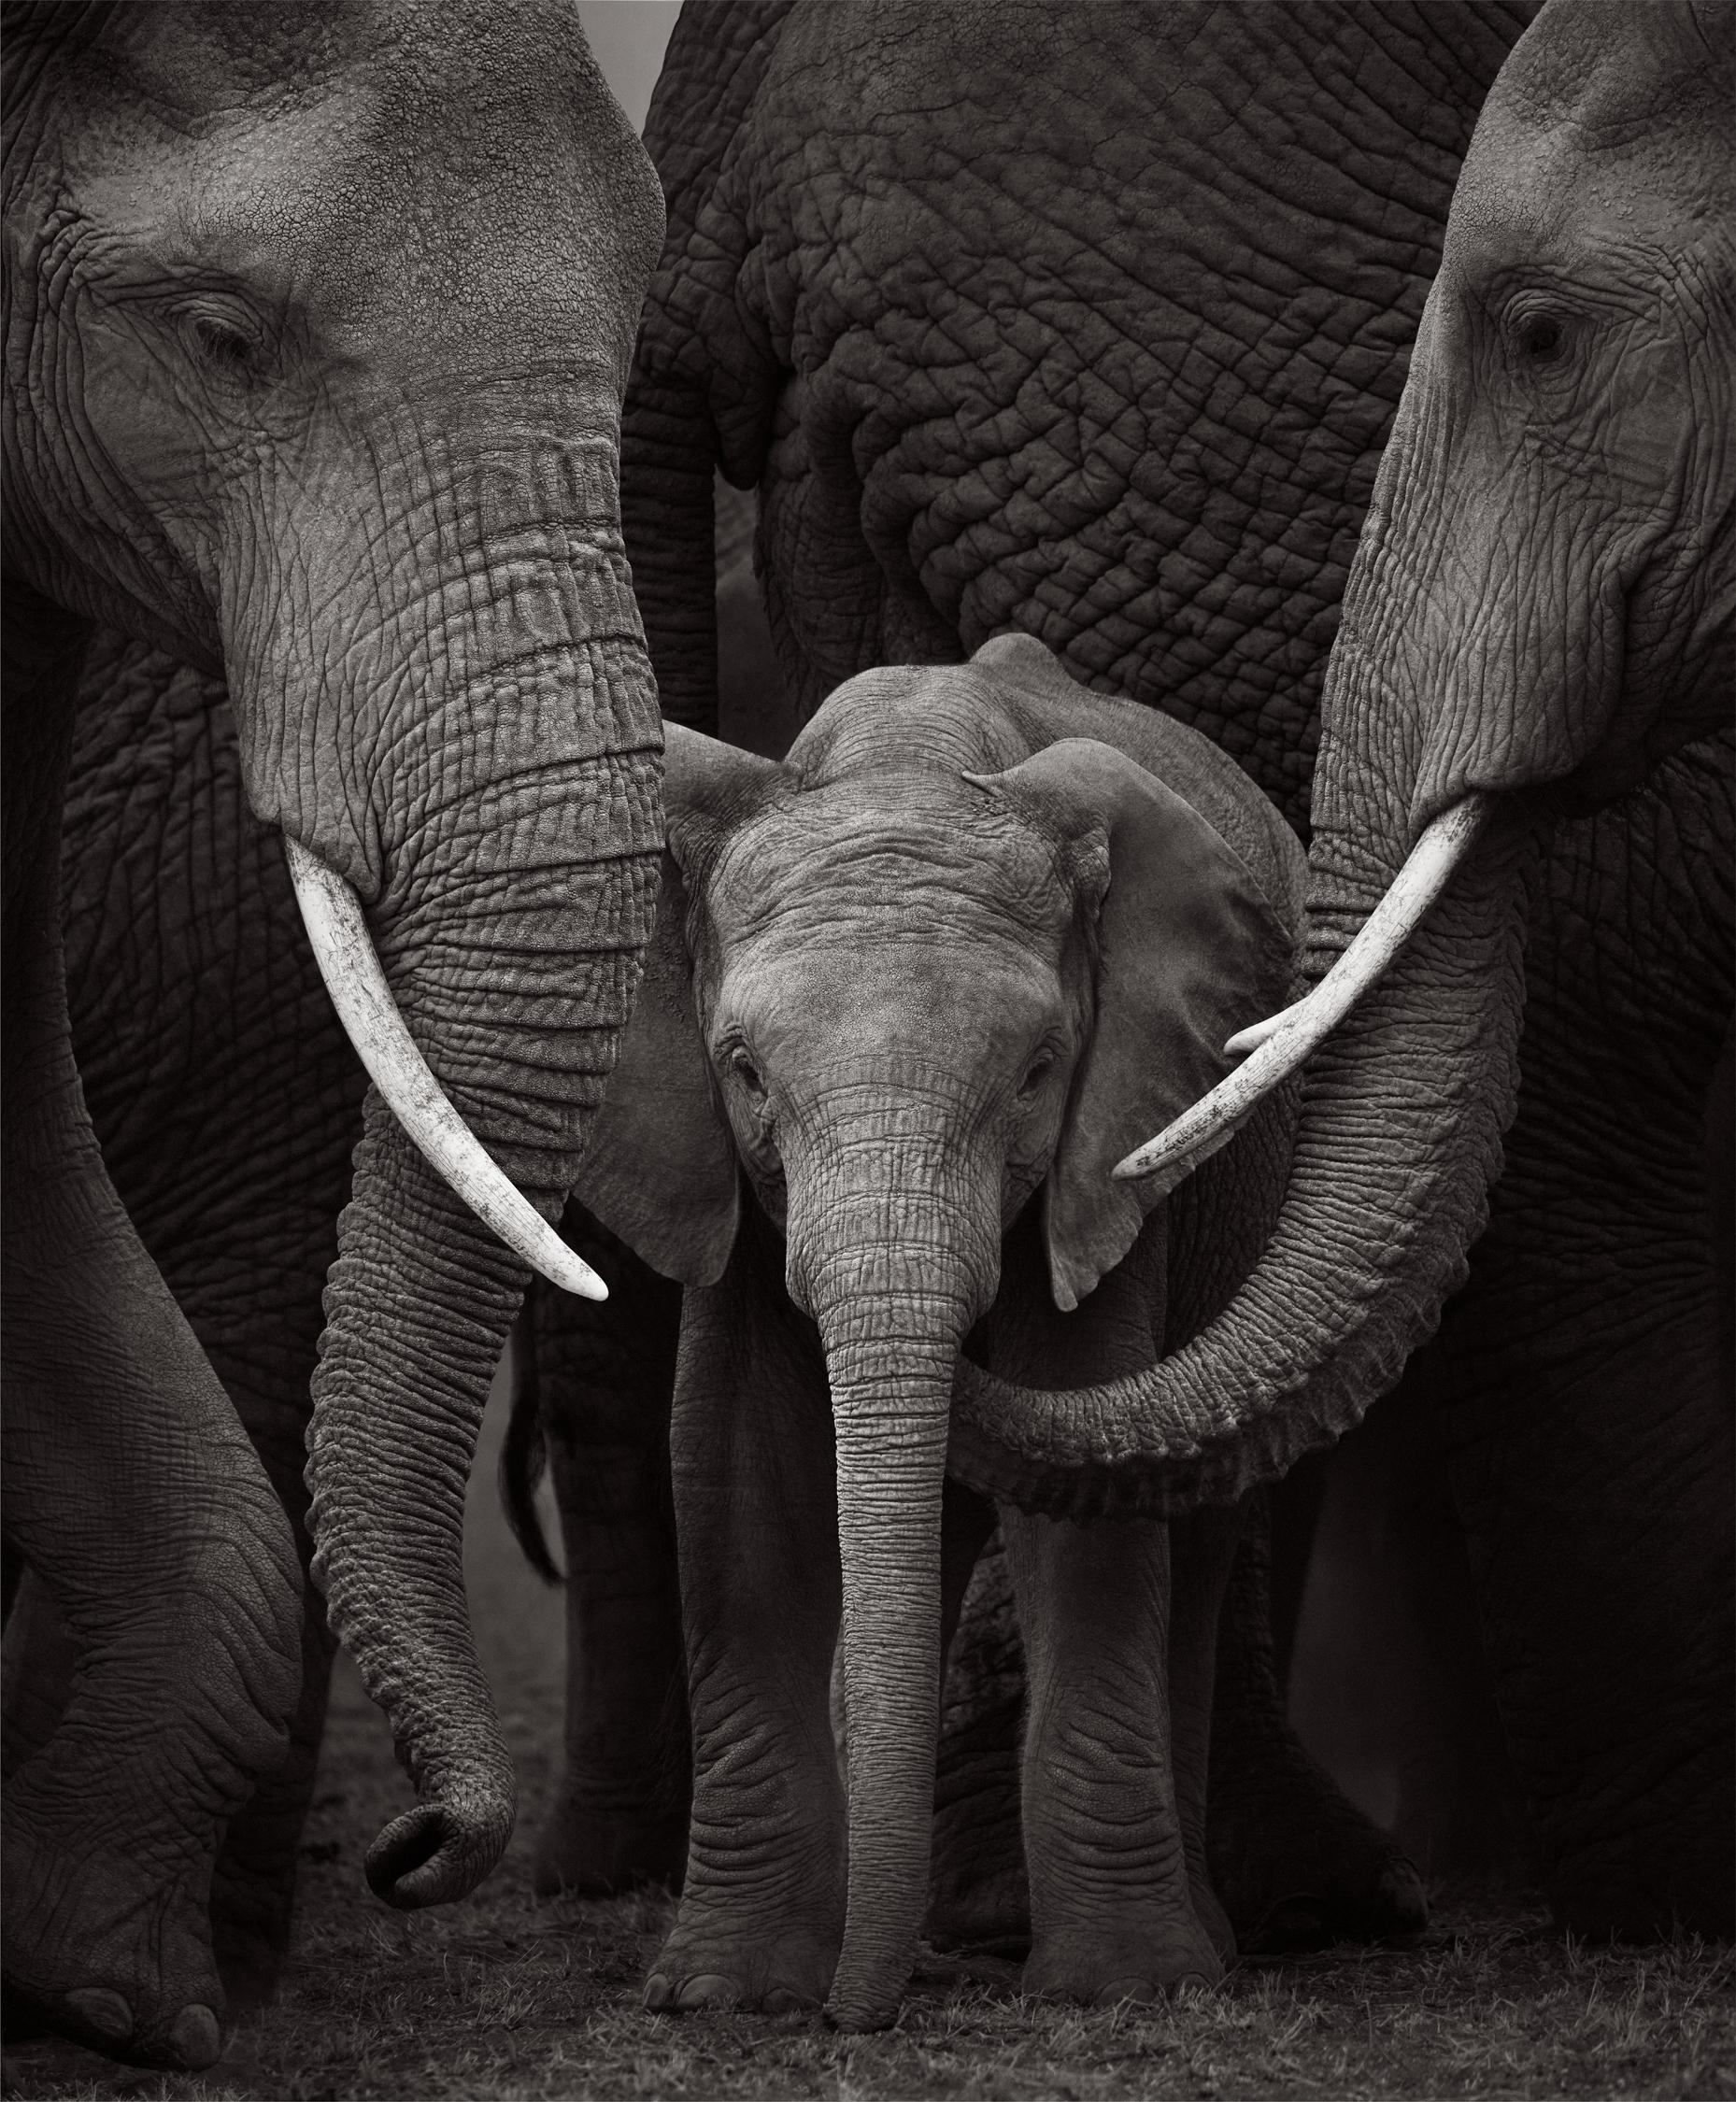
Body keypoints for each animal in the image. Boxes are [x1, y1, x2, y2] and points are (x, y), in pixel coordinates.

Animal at [559, 632, 1315, 2024]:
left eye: (1035, 1076)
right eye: (744, 1073)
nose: (858, 2015)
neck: (904, 757)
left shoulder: (1117, 1137)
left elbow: (1087, 1510)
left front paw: (1120, 1988)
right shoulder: (724, 1183)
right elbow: (742, 1483)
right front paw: (721, 1991)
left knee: (1186, 1533)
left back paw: (1199, 1947)